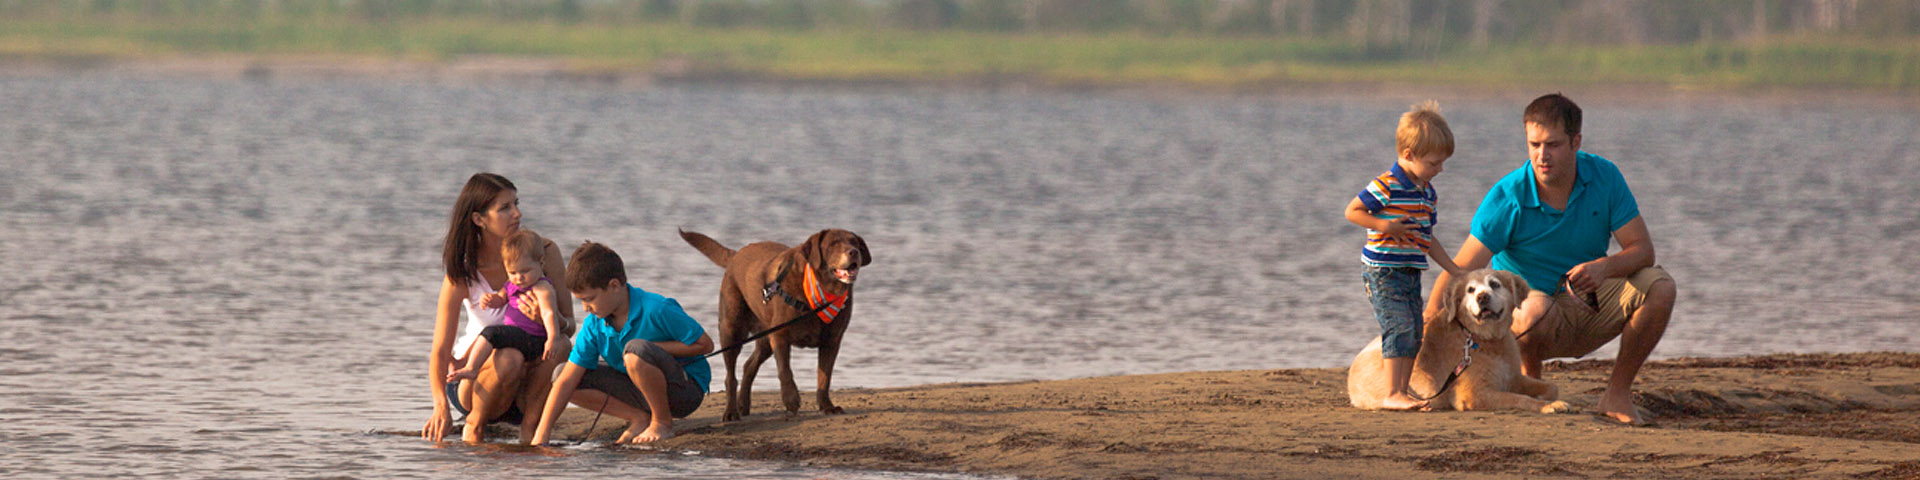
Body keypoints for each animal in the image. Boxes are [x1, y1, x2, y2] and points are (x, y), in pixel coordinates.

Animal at [683, 228, 871, 420]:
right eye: (833, 244)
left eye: (854, 242)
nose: (853, 252)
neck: (821, 292)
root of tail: (736, 255)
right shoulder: (780, 336)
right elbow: (785, 370)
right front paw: (791, 400)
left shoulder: (832, 340)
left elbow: (824, 377)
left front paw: (827, 406)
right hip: (732, 330)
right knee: (730, 376)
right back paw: (731, 412)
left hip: (765, 337)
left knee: (749, 365)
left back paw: (743, 404)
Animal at [1351, 268, 1574, 414]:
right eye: (1470, 290)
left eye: (1495, 284)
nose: (1482, 297)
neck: (1483, 338)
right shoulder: (1474, 394)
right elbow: (1519, 398)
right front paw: (1546, 405)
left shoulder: (1512, 377)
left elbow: (1551, 387)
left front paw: (1547, 398)